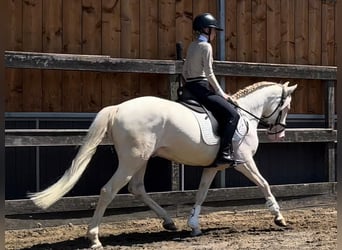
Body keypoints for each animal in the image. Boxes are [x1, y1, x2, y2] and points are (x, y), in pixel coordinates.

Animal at [29, 80, 296, 248]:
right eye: (286, 107)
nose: (279, 133)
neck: (246, 114)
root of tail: (117, 109)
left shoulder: (213, 166)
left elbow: (201, 193)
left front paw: (194, 225)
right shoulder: (244, 161)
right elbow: (264, 183)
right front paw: (279, 218)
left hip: (142, 159)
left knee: (136, 188)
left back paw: (169, 222)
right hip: (132, 160)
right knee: (108, 190)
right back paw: (94, 238)